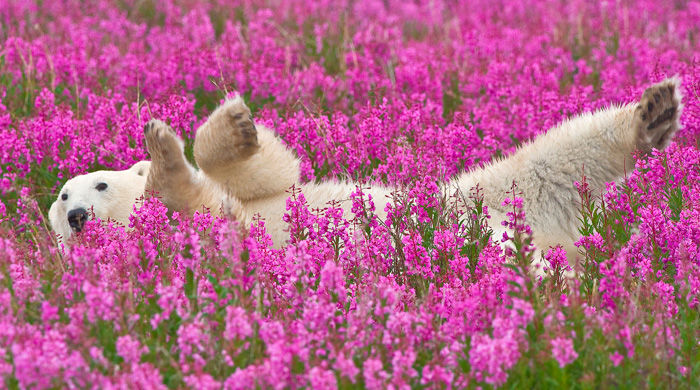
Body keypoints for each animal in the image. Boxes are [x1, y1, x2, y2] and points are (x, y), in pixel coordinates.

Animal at [50, 78, 684, 266]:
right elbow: (197, 206)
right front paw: (164, 158)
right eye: (61, 199)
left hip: (482, 195)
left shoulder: (260, 195)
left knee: (556, 157)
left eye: (96, 183)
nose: (77, 215)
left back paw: (653, 112)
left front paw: (222, 126)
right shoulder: (216, 238)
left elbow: (273, 173)